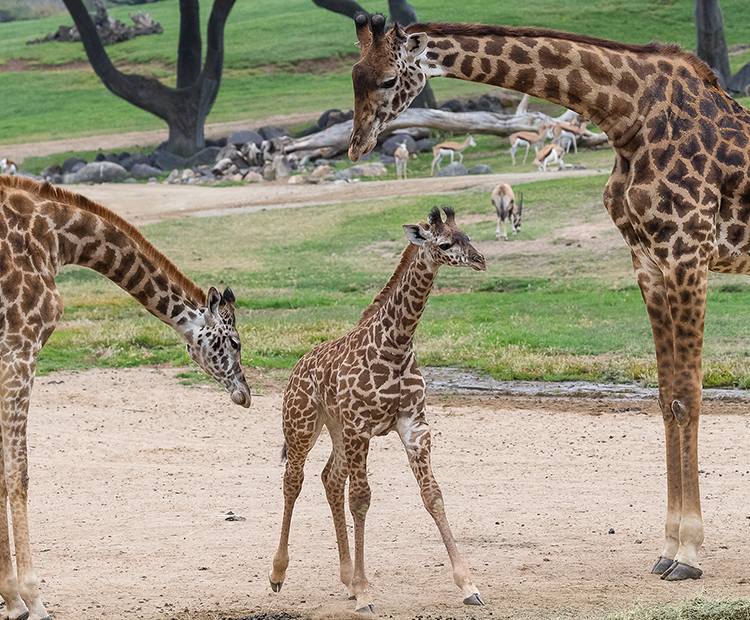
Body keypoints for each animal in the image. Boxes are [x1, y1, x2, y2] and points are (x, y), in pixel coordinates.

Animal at [0, 176, 253, 620]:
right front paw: (30, 599)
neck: (55, 236)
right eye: (235, 342)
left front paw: (11, 599)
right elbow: (18, 473)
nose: (245, 393)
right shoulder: (20, 347)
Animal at [270, 206, 488, 612]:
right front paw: (365, 592)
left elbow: (433, 495)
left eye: (467, 236)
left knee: (329, 478)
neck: (395, 345)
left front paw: (468, 585)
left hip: (337, 429)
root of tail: (298, 365)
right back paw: (278, 574)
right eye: (445, 243)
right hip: (303, 423)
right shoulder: (361, 427)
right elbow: (361, 500)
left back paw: (345, 579)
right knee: (294, 481)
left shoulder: (413, 425)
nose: (480, 260)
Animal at [352, 14, 750, 584]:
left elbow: (688, 398)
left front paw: (691, 555)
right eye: (353, 75)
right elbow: (665, 398)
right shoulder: (649, 263)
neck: (626, 116)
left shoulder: (687, 254)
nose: (356, 145)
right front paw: (668, 547)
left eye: (387, 79)